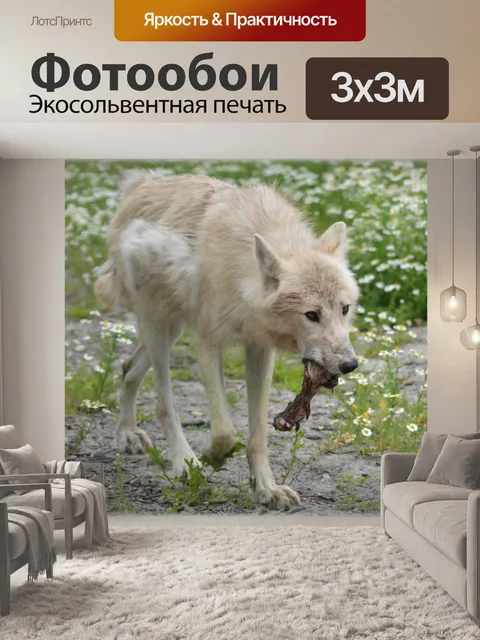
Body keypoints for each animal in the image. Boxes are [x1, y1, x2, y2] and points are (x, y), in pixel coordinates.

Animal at [94, 172, 360, 509]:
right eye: (311, 315)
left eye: (344, 309)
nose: (350, 364)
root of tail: (141, 183)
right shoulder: (207, 341)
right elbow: (225, 432)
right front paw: (213, 457)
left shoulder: (260, 349)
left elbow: (257, 435)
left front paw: (267, 489)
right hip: (160, 326)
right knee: (163, 402)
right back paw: (183, 462)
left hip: (172, 328)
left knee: (129, 367)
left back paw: (127, 433)